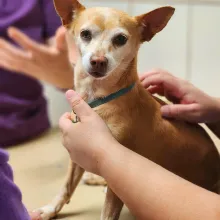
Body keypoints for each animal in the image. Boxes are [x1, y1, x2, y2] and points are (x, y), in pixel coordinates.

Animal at [34, 0, 220, 219]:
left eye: (121, 39)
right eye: (85, 34)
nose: (98, 61)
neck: (98, 99)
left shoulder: (114, 167)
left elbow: (107, 213)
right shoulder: (75, 156)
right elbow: (66, 186)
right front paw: (50, 209)